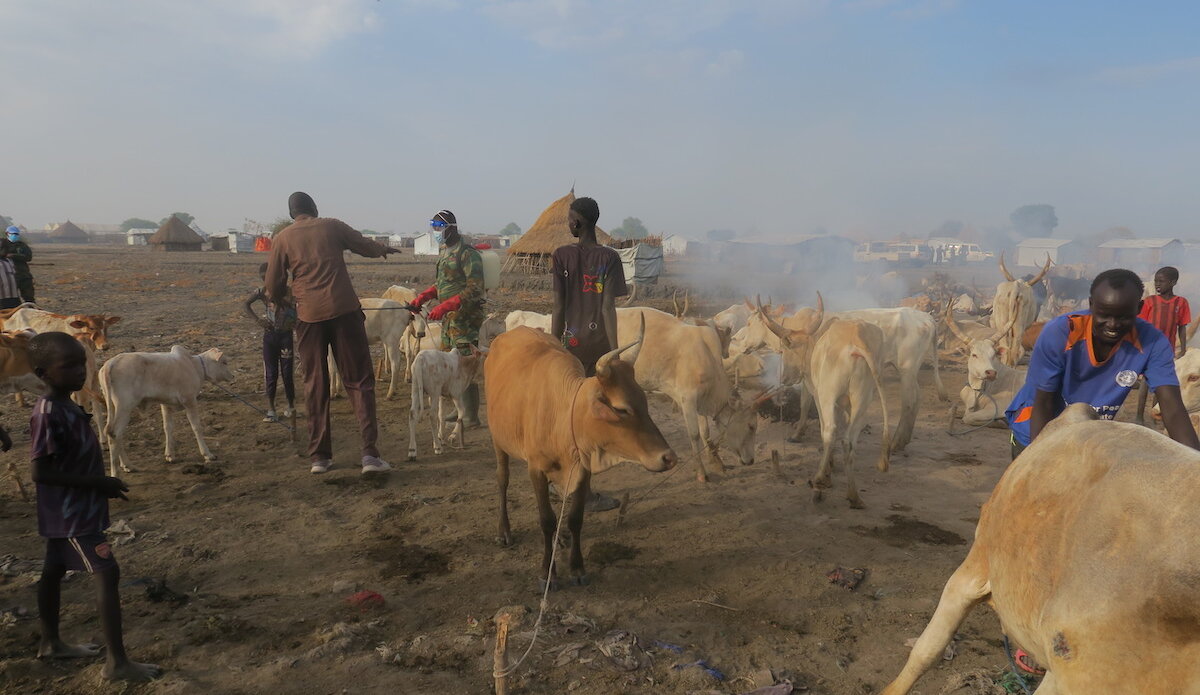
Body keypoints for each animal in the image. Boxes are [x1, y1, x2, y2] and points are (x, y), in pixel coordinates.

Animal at [101, 345, 231, 475]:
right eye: (224, 362)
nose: (232, 375)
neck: (194, 366)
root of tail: (110, 364)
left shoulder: (165, 404)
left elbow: (168, 427)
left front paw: (170, 455)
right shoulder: (189, 400)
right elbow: (196, 428)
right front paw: (208, 454)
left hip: (115, 407)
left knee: (115, 434)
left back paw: (127, 465)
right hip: (125, 407)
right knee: (115, 434)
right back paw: (118, 470)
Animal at [484, 319, 676, 588]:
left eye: (644, 401)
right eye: (621, 409)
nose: (668, 457)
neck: (564, 415)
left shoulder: (583, 469)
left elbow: (575, 518)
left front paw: (577, 567)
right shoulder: (536, 469)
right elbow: (546, 520)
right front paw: (548, 573)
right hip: (498, 440)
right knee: (502, 480)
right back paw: (504, 531)